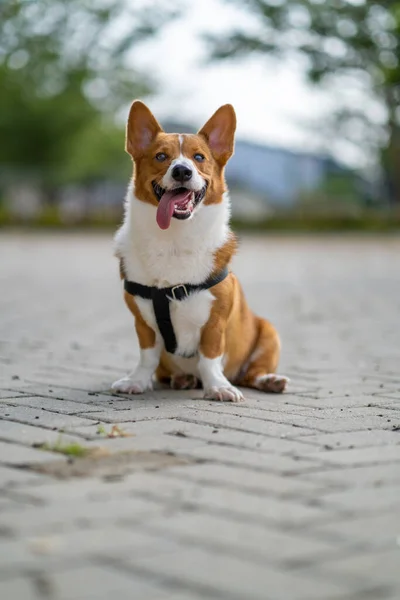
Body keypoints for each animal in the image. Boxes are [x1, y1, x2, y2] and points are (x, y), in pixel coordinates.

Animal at [112, 102, 288, 404]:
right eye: (161, 156)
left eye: (198, 157)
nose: (182, 171)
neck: (174, 238)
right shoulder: (142, 323)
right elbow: (147, 357)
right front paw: (136, 381)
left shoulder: (215, 323)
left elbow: (209, 357)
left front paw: (217, 386)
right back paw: (182, 379)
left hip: (269, 333)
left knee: (252, 373)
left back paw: (268, 380)